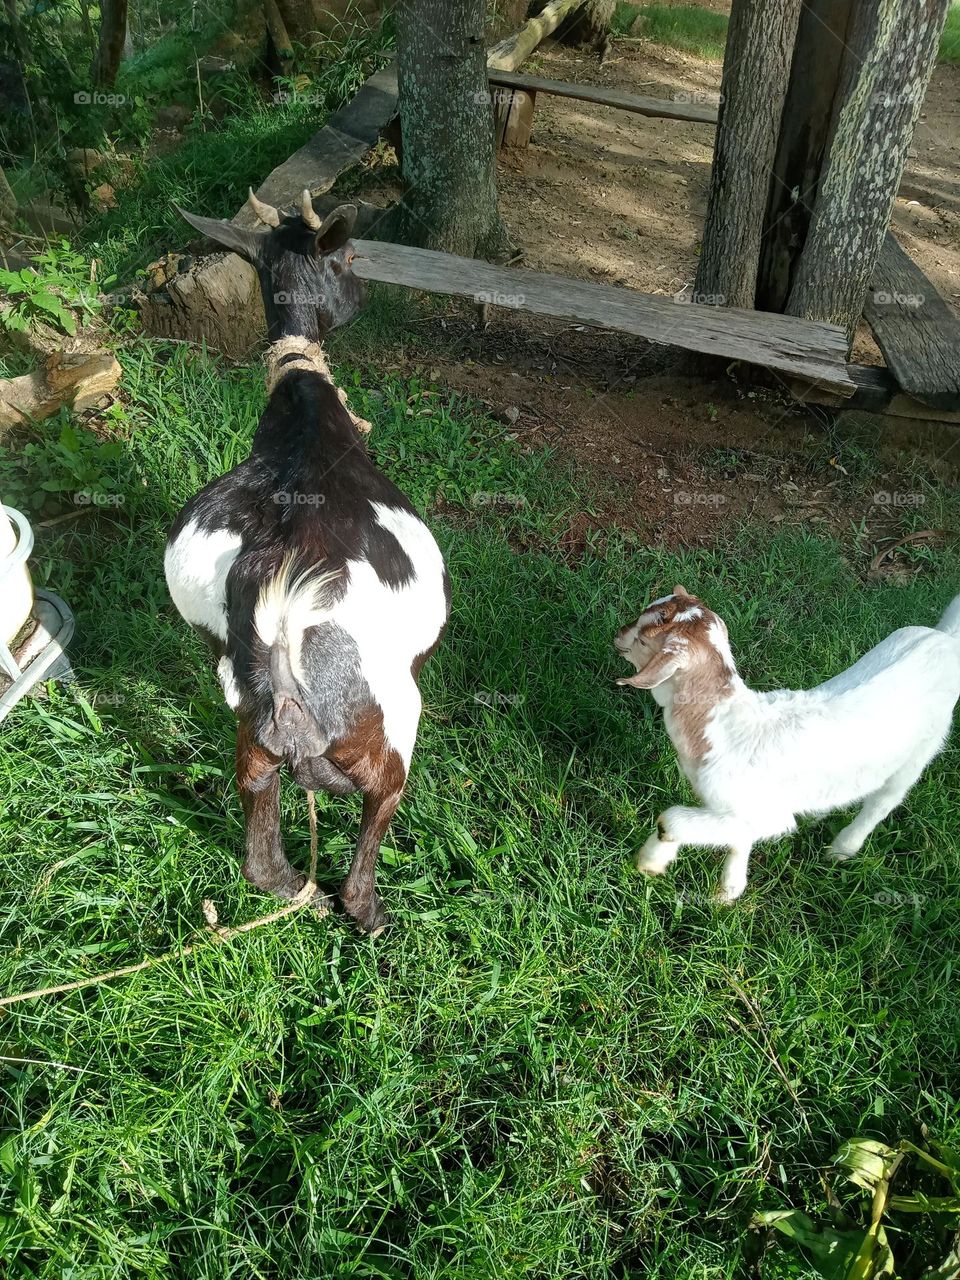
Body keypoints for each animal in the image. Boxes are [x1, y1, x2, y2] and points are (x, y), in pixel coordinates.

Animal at [164, 190, 450, 934]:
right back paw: (367, 914)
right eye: (348, 256)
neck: (303, 407)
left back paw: (299, 895)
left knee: (259, 848)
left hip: (255, 737)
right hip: (389, 724)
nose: (364, 292)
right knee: (375, 816)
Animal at [614, 587, 960, 903]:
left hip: (922, 749)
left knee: (885, 800)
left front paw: (649, 863)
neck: (726, 723)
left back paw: (842, 849)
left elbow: (670, 819)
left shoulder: (763, 809)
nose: (617, 635)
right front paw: (728, 892)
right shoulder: (730, 810)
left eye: (643, 640)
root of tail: (946, 640)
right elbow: (737, 836)